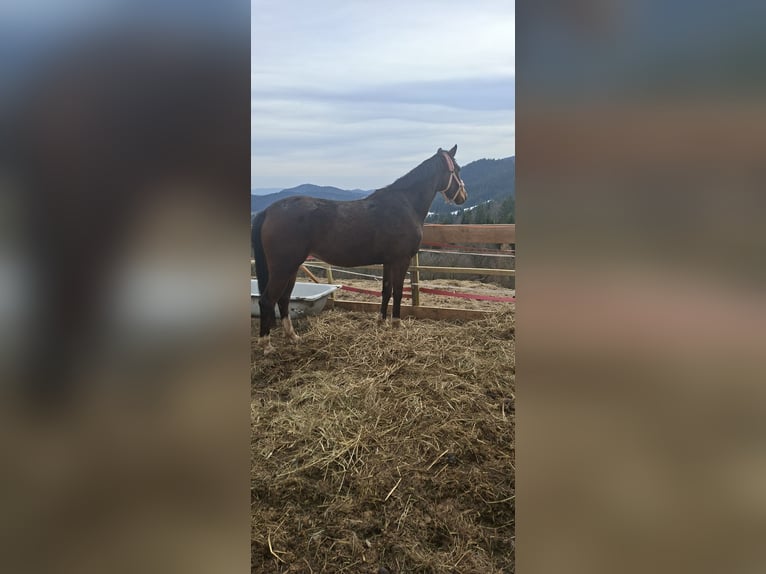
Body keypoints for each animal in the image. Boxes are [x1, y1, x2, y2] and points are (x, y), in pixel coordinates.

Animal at [251, 145, 467, 353]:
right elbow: (398, 292)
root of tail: (268, 211)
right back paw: (266, 345)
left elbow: (386, 290)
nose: (463, 197)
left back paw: (292, 336)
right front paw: (396, 325)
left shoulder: (388, 262)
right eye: (457, 169)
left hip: (292, 267)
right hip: (283, 267)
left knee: (284, 299)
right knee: (267, 300)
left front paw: (381, 322)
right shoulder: (401, 260)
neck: (405, 204)